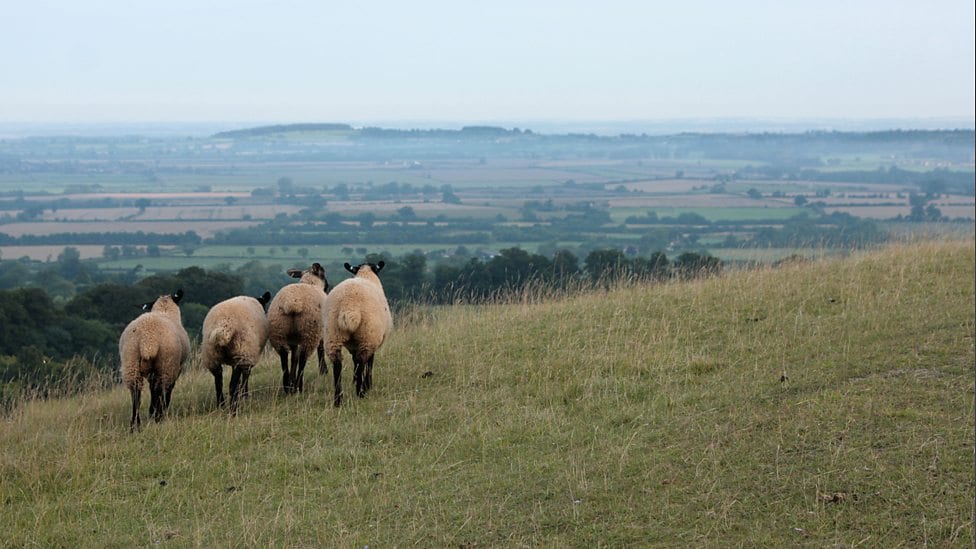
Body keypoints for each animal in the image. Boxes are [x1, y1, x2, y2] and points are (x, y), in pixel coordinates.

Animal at [119, 288, 192, 430]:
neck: (164, 310)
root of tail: (148, 339)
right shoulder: (177, 369)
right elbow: (165, 390)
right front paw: (157, 412)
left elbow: (152, 389)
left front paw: (151, 412)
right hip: (166, 364)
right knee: (161, 389)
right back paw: (159, 416)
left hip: (131, 361)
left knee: (136, 394)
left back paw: (135, 425)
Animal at [266, 262, 328, 394]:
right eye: (323, 273)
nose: (327, 287)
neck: (311, 282)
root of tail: (293, 303)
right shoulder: (321, 333)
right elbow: (320, 350)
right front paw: (324, 371)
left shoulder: (294, 340)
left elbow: (294, 358)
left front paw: (292, 380)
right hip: (310, 331)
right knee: (303, 358)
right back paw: (299, 387)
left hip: (279, 332)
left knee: (284, 358)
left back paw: (288, 386)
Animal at [324, 262, 392, 406]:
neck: (366, 275)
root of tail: (349, 306)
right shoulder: (372, 341)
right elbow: (369, 363)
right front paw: (368, 384)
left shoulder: (353, 345)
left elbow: (354, 362)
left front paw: (354, 380)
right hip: (367, 335)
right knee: (362, 362)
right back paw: (361, 392)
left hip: (332, 335)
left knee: (337, 364)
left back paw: (338, 399)